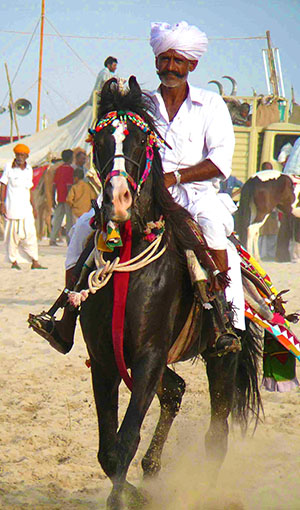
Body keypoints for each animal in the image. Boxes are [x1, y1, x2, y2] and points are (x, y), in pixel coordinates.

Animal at [79, 76, 260, 510]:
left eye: (141, 141)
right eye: (100, 140)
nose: (118, 200)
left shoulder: (148, 357)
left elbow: (125, 440)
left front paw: (124, 498)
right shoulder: (106, 360)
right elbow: (108, 451)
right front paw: (137, 493)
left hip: (221, 358)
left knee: (216, 434)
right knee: (175, 392)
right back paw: (152, 471)